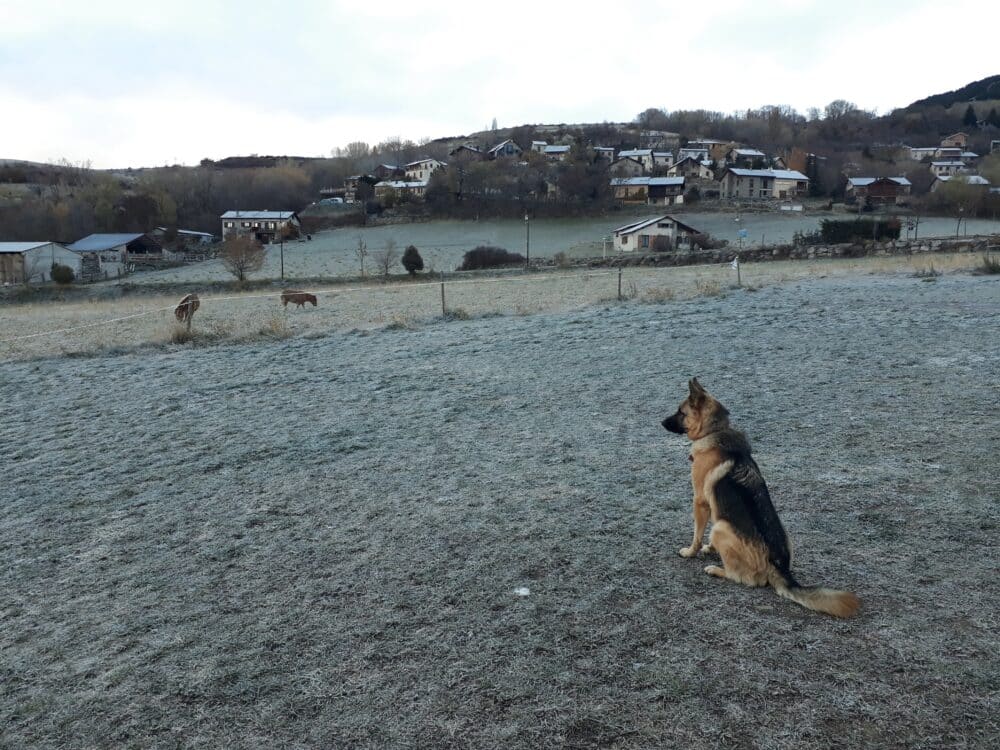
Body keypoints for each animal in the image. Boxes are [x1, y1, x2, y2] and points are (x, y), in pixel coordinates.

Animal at [664, 378, 860, 620]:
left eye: (680, 412)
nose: (661, 422)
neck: (715, 430)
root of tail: (779, 567)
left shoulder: (700, 502)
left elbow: (697, 534)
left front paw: (691, 552)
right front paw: (709, 548)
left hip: (721, 527)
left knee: (743, 578)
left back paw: (717, 570)